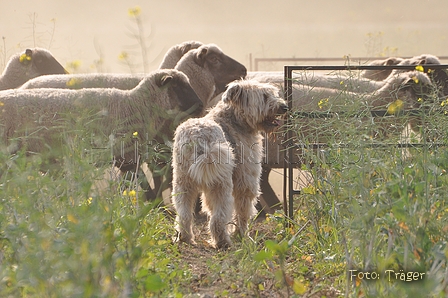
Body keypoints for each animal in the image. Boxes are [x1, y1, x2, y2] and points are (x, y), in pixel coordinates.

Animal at [0, 68, 203, 200]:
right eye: (178, 87)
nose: (200, 106)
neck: (134, 105)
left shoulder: (126, 159)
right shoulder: (128, 157)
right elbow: (145, 186)